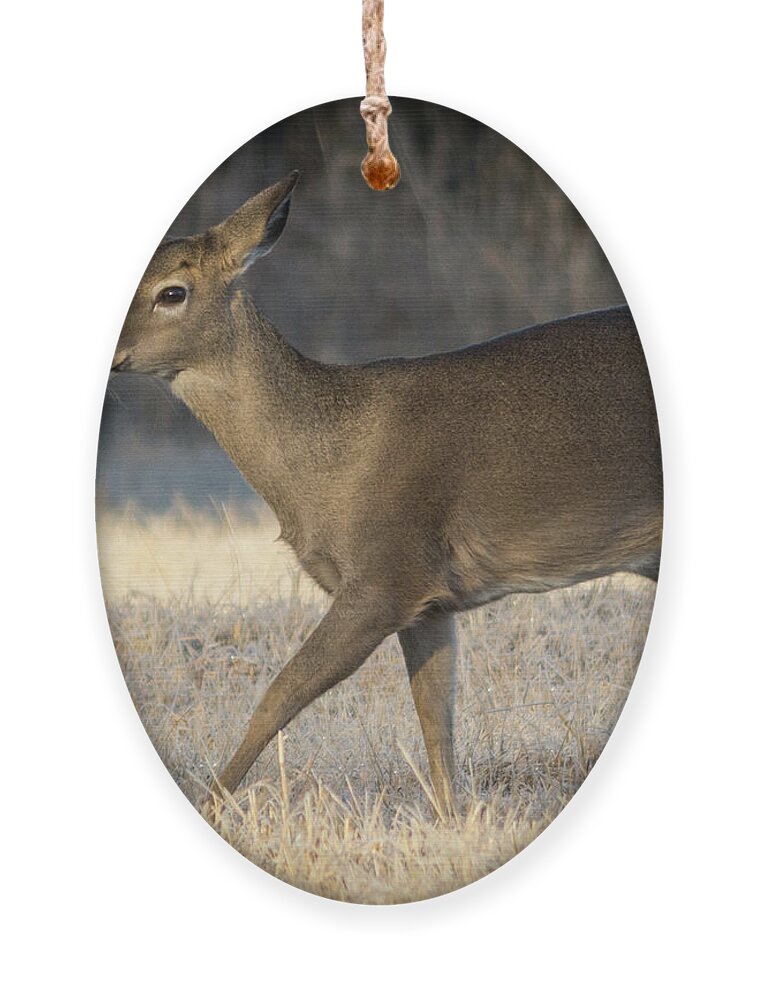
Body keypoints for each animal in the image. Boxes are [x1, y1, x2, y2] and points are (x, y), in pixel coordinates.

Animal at [110, 170, 664, 812]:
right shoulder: (431, 601)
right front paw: (453, 822)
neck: (328, 466)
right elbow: (436, 726)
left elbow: (277, 697)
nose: (114, 354)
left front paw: (212, 805)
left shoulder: (388, 572)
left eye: (171, 292)